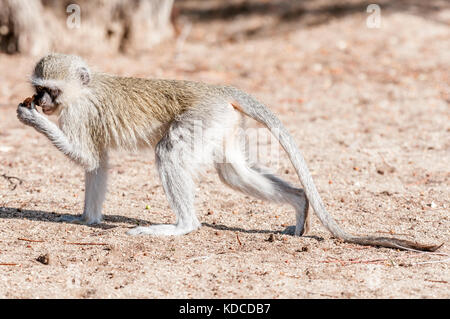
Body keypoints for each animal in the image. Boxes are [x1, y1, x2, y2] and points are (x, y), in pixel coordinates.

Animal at [16, 55, 440, 252]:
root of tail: (218, 90)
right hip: (220, 124)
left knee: (169, 154)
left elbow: (88, 159)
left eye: (50, 90)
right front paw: (87, 218)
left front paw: (30, 117)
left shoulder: (78, 114)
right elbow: (98, 164)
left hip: (202, 118)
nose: (40, 101)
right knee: (232, 172)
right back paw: (300, 205)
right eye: (38, 87)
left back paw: (182, 226)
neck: (82, 91)